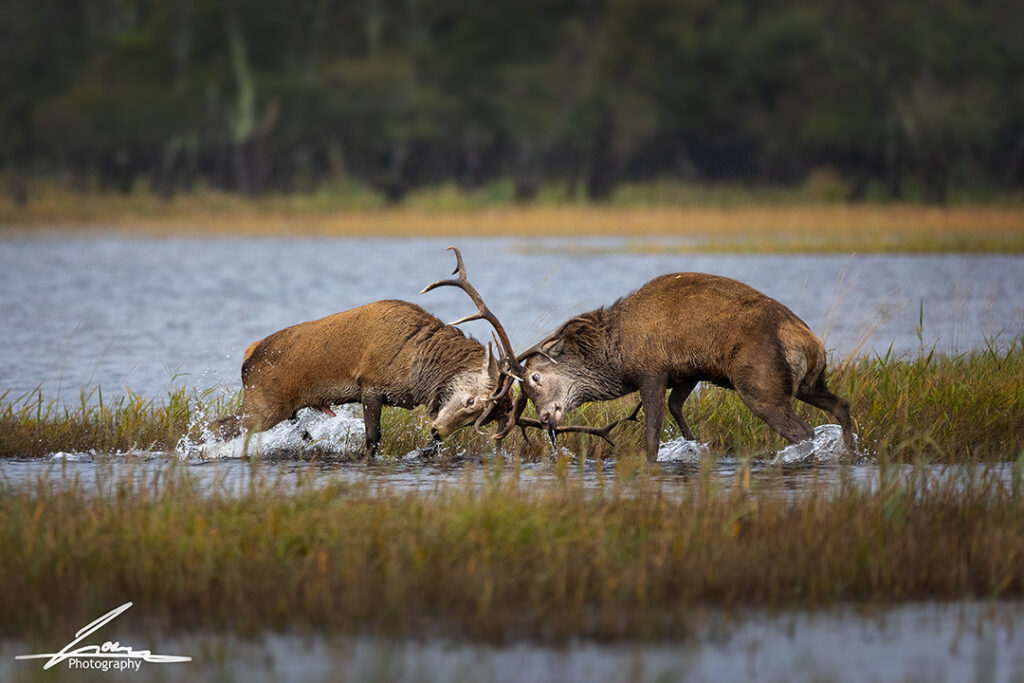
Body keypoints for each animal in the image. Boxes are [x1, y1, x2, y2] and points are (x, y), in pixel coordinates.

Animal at [516, 272, 854, 462]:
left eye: (535, 377)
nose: (545, 418)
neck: (617, 359)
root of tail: (809, 341)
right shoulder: (688, 373)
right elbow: (677, 408)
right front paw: (693, 448)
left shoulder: (651, 372)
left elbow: (653, 433)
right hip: (809, 383)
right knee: (841, 405)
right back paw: (849, 453)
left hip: (760, 384)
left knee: (803, 431)